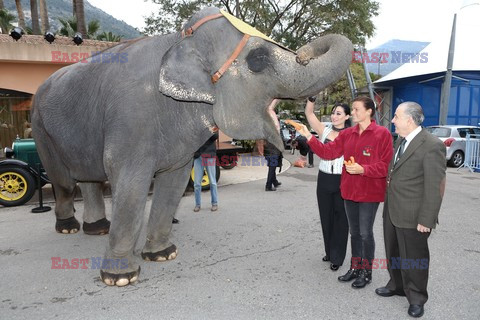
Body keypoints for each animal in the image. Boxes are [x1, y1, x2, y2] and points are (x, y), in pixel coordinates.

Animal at [31, 7, 352, 286]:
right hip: (40, 128)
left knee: (88, 178)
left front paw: (163, 255)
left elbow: (173, 182)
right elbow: (131, 186)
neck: (178, 40)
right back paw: (70, 227)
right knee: (64, 181)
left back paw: (97, 229)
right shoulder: (129, 119)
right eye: (258, 59)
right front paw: (120, 278)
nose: (304, 55)